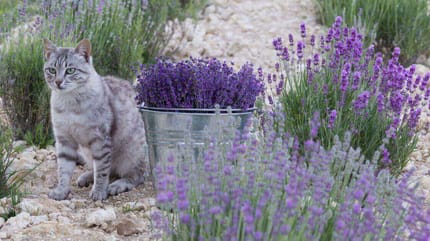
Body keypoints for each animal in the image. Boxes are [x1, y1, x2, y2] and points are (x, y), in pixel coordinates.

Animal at [43, 38, 147, 201]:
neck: (69, 103)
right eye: (52, 70)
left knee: (135, 175)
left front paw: (98, 192)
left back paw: (116, 185)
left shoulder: (100, 139)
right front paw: (61, 190)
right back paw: (87, 177)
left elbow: (102, 170)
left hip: (131, 153)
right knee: (108, 169)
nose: (58, 82)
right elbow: (63, 169)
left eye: (70, 70)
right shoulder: (64, 139)